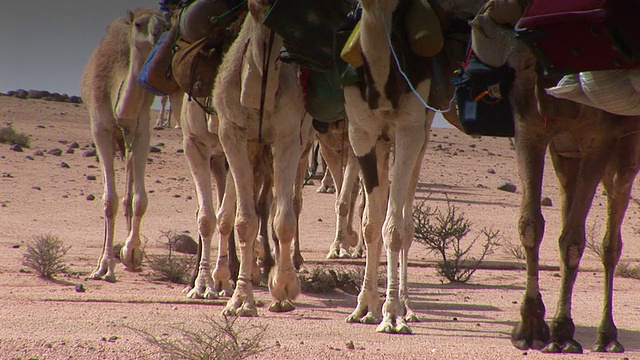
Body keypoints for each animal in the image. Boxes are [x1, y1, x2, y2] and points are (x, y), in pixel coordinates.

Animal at [80, 8, 170, 282]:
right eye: (139, 24)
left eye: (166, 24)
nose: (157, 35)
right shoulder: (100, 130)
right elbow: (109, 200)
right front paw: (104, 267)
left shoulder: (141, 131)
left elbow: (140, 200)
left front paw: (132, 253)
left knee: (130, 192)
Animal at [212, 0, 312, 316]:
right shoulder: (231, 133)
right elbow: (244, 221)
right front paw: (240, 299)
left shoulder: (288, 136)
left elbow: (284, 220)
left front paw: (284, 289)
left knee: (285, 202)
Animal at [472, 1, 640, 352]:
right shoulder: (529, 130)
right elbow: (531, 225)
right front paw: (531, 326)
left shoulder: (598, 141)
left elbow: (574, 239)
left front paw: (561, 331)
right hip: (566, 157)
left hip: (626, 148)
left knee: (611, 236)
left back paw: (607, 336)